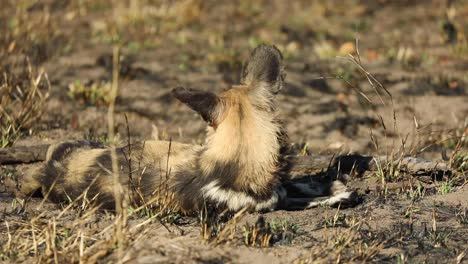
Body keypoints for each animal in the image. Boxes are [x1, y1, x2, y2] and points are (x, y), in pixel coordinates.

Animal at [16, 44, 356, 213]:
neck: (240, 163)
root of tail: (51, 170)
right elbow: (297, 198)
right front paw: (333, 194)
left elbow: (296, 188)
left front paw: (328, 188)